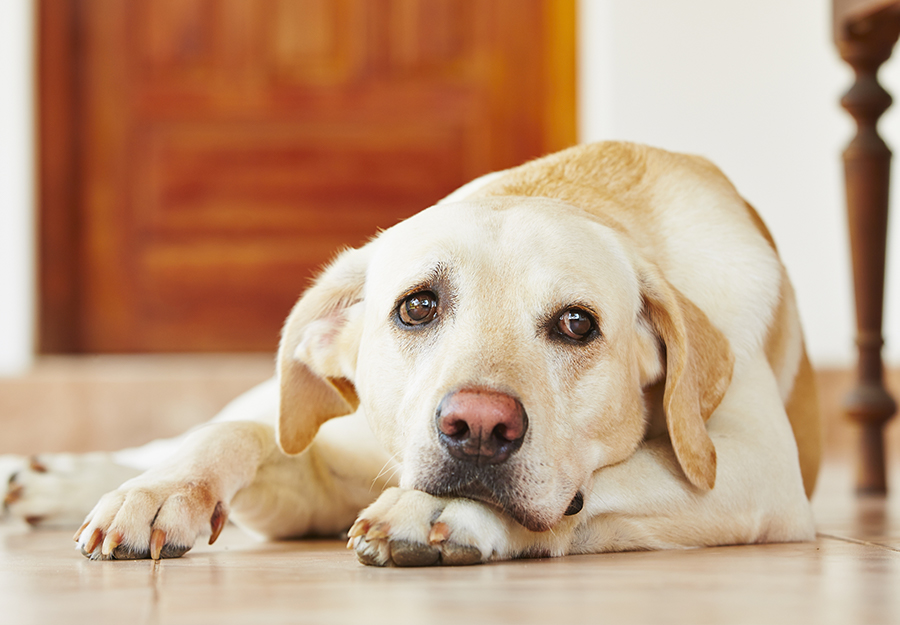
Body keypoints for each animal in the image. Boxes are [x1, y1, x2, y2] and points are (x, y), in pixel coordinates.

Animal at [1, 143, 816, 564]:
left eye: (576, 325)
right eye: (418, 306)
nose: (478, 427)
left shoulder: (756, 472)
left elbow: (603, 486)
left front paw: (443, 510)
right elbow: (233, 434)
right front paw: (164, 491)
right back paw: (59, 479)